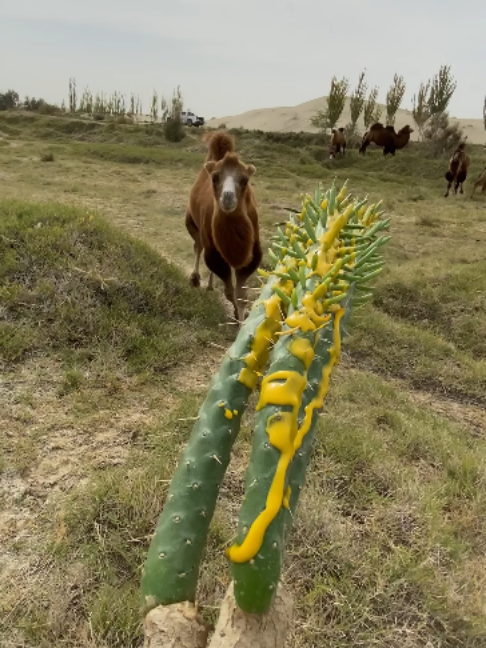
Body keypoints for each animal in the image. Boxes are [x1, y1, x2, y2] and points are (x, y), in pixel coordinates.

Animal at [185, 131, 262, 324]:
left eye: (245, 180)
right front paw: (236, 318)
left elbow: (241, 296)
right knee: (198, 246)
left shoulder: (251, 253)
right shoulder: (213, 250)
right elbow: (229, 292)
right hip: (191, 221)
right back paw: (195, 279)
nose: (227, 197)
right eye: (214, 178)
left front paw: (242, 319)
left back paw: (210, 285)